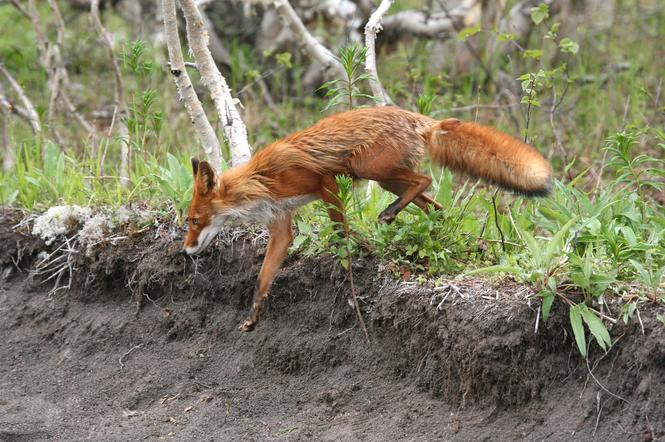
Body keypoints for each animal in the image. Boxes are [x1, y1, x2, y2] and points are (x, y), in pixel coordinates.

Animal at [182, 105, 548, 330]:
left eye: (194, 221)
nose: (185, 252)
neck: (261, 180)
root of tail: (419, 119)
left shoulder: (324, 182)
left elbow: (339, 229)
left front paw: (355, 254)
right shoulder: (281, 225)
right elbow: (262, 279)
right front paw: (253, 318)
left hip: (368, 167)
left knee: (424, 182)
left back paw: (389, 215)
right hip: (386, 179)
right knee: (434, 204)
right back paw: (432, 228)